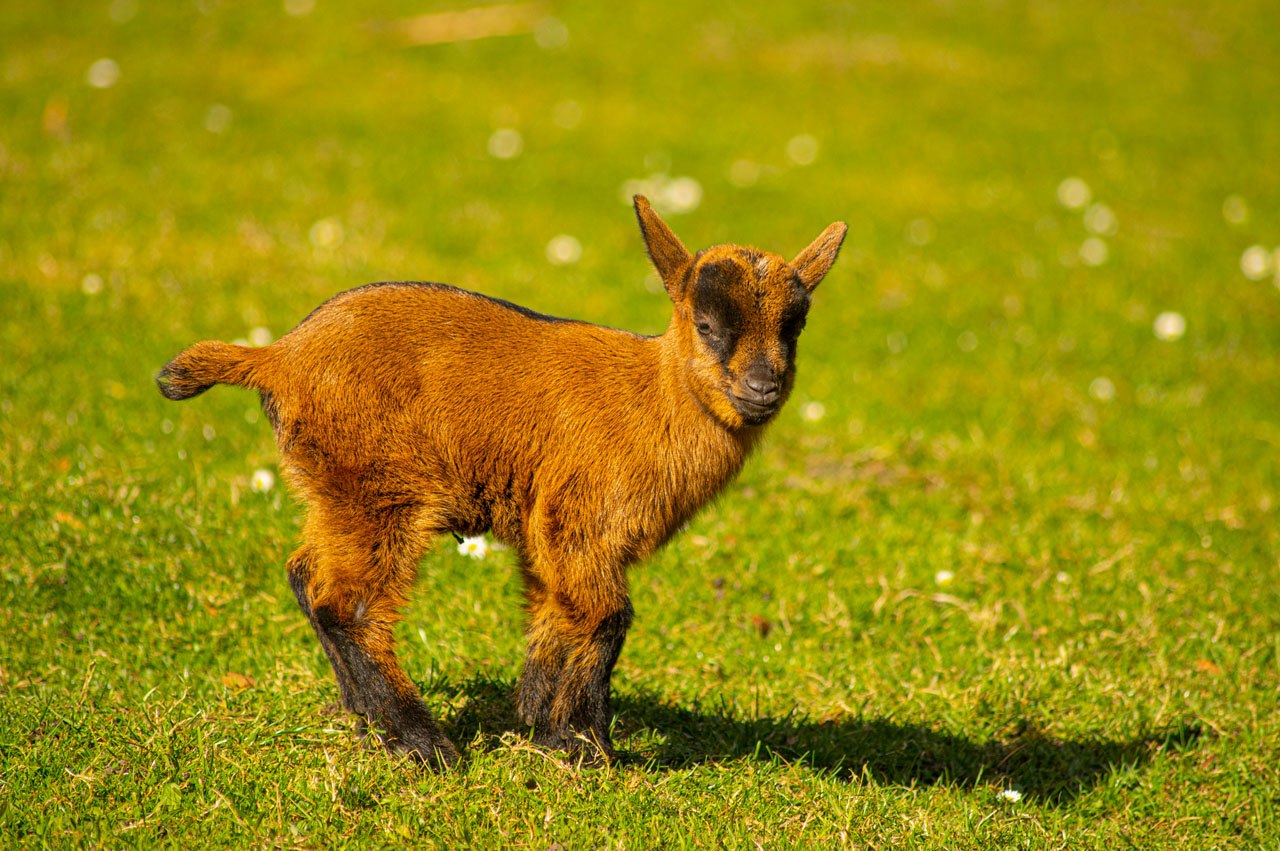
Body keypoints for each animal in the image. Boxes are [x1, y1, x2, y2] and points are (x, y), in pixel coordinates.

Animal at [154, 195, 844, 767]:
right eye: (706, 325)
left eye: (795, 327)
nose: (763, 387)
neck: (651, 398)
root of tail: (275, 357)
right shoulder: (580, 519)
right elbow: (607, 616)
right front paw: (585, 746)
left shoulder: (547, 528)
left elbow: (554, 612)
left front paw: (541, 720)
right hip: (378, 488)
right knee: (345, 602)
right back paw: (424, 744)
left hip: (331, 487)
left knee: (303, 574)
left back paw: (366, 718)